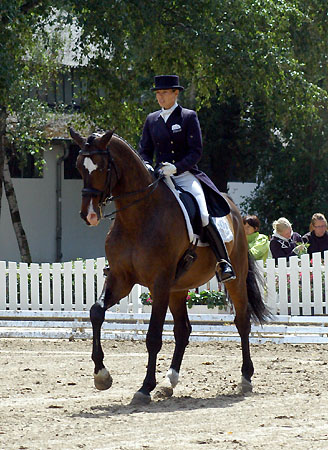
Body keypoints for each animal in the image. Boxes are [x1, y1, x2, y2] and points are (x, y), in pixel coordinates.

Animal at [69, 127, 270, 404]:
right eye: (79, 166)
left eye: (101, 167)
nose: (88, 215)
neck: (137, 217)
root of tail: (233, 208)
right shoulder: (121, 279)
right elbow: (96, 312)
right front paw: (102, 376)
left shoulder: (159, 283)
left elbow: (153, 336)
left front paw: (145, 387)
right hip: (178, 288)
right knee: (183, 330)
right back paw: (170, 381)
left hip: (234, 278)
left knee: (242, 322)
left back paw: (245, 378)